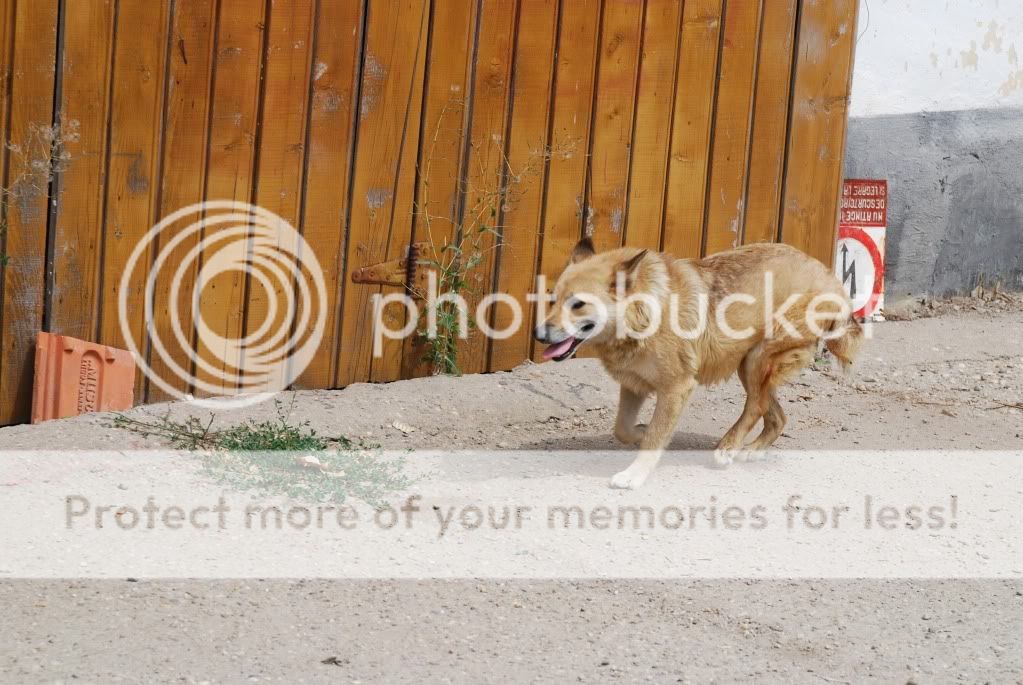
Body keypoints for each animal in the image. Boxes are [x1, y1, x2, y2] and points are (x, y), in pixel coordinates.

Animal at [536, 239, 863, 490]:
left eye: (578, 304)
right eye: (553, 299)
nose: (539, 334)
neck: (645, 309)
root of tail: (832, 280)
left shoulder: (677, 388)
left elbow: (654, 437)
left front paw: (634, 474)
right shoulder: (634, 385)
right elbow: (624, 429)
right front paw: (642, 431)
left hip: (756, 359)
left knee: (756, 406)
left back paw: (728, 447)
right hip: (749, 365)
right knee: (776, 415)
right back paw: (753, 449)